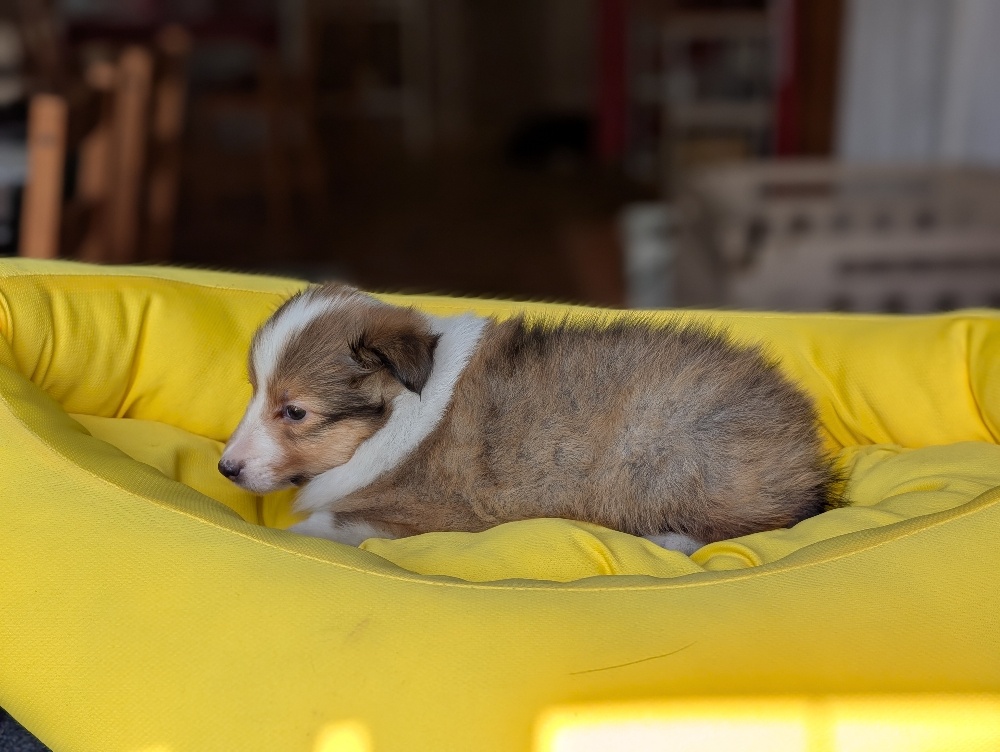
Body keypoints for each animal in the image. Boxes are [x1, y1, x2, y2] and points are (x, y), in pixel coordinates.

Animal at [219, 283, 839, 554]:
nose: (226, 468)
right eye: (253, 391)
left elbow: (324, 523)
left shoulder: (418, 516)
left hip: (660, 453)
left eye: (295, 411)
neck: (396, 415)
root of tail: (807, 459)